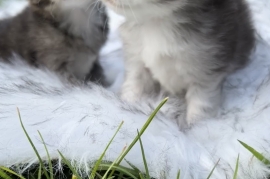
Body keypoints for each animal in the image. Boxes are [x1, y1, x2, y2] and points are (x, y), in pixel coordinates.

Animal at [100, 0, 255, 126]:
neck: (157, 21)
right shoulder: (136, 57)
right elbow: (134, 86)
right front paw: (127, 106)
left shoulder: (207, 68)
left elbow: (201, 104)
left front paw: (197, 127)